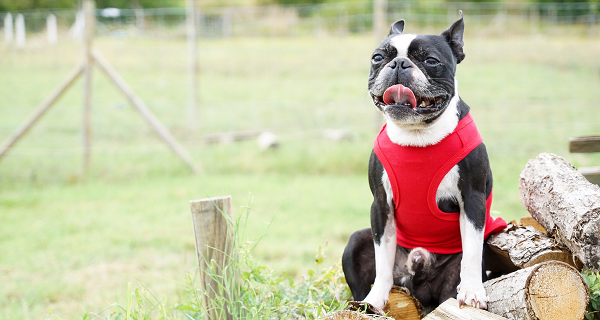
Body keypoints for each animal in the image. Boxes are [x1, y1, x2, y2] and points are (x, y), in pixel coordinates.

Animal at [342, 13, 506, 316]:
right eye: (378, 57)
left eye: (430, 60)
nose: (398, 63)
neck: (417, 133)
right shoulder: (380, 205)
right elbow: (382, 260)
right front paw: (376, 298)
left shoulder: (473, 200)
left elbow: (472, 252)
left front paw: (473, 292)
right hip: (356, 241)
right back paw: (365, 304)